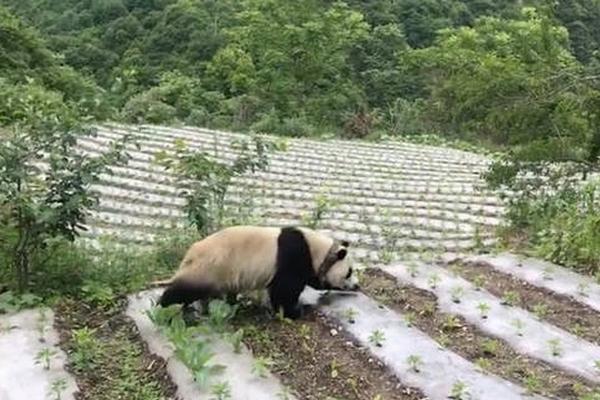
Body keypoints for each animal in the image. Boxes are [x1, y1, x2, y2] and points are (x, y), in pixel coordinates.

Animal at [155, 225, 358, 318]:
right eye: (349, 272)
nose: (357, 285)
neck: (319, 251)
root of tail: (190, 255)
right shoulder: (293, 257)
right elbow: (285, 289)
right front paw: (293, 311)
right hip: (209, 268)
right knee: (184, 290)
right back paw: (164, 307)